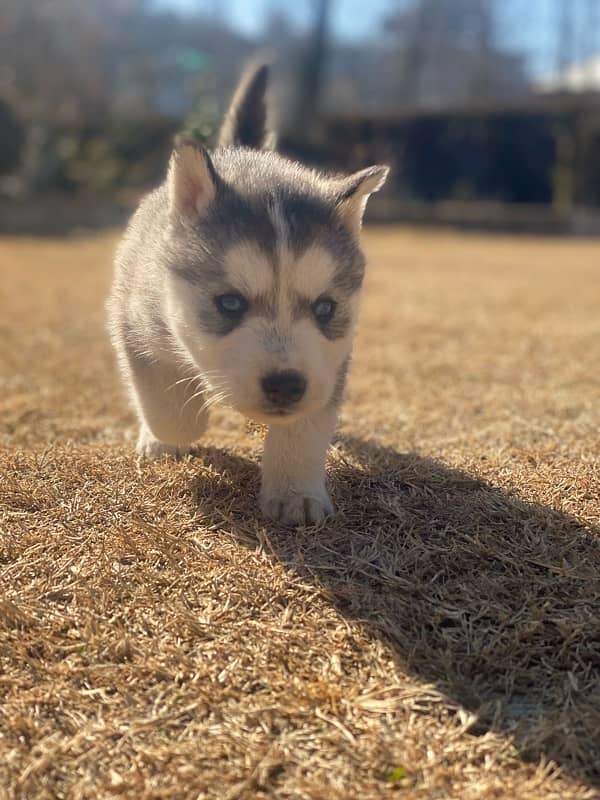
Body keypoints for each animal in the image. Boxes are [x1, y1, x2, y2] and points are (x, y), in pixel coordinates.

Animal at [106, 61, 390, 524]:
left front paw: (295, 493)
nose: (286, 386)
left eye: (325, 308)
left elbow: (305, 428)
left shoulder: (330, 361)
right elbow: (173, 412)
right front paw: (175, 429)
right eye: (230, 303)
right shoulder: (136, 324)